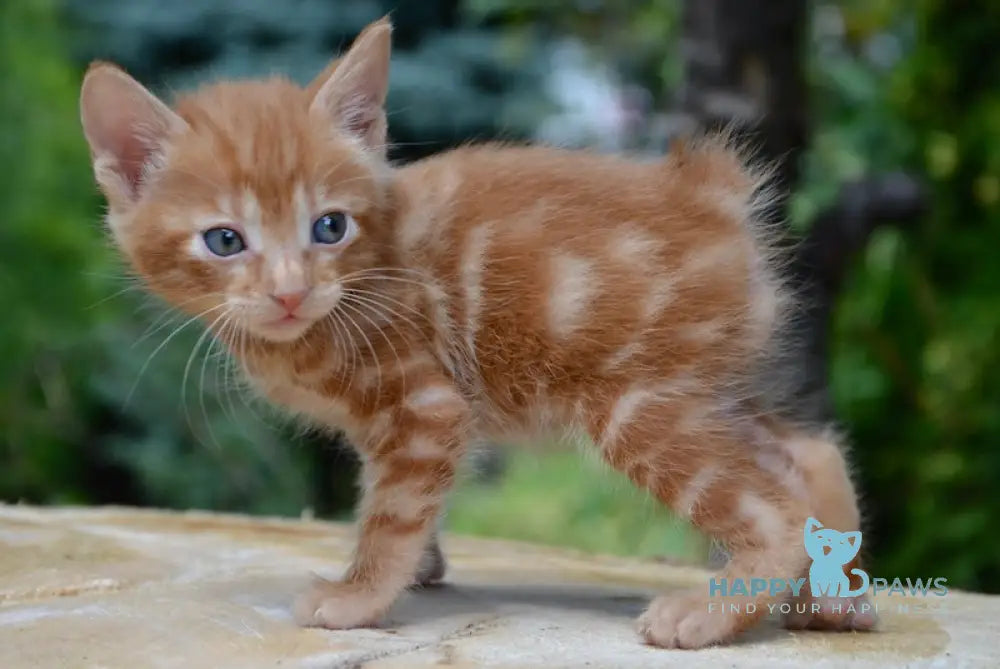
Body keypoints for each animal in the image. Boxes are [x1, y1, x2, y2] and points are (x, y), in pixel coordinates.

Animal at [78, 19, 876, 648]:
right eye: (224, 241)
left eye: (329, 227)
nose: (289, 290)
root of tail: (710, 195)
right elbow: (390, 498)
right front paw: (421, 568)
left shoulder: (425, 405)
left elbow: (392, 512)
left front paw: (359, 595)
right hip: (706, 379)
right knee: (809, 452)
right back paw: (838, 600)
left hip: (640, 400)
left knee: (774, 506)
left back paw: (710, 613)